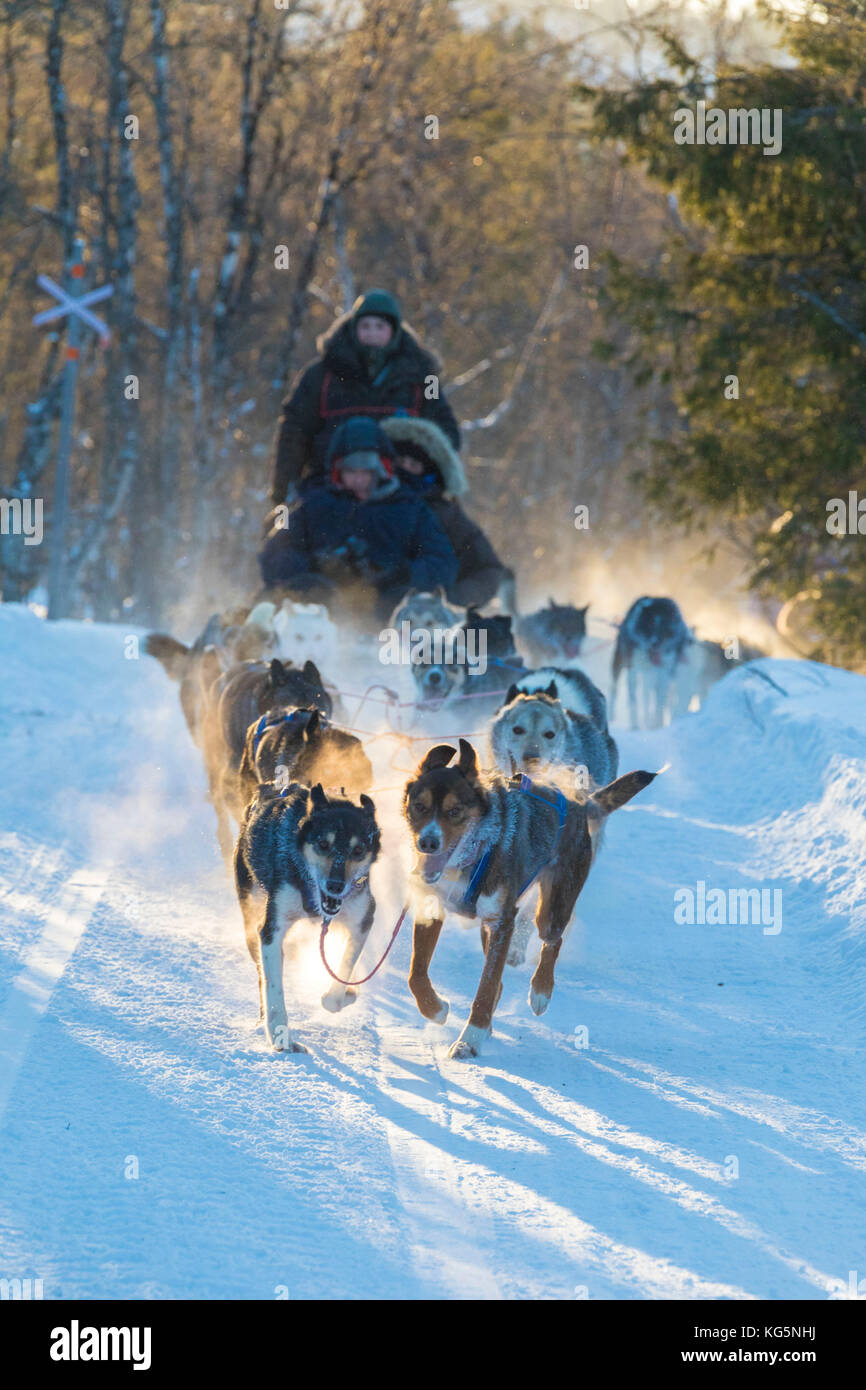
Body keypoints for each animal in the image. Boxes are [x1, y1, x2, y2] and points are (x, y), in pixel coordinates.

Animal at [237, 783, 386, 1050]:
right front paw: (281, 1036)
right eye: (323, 844)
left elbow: (339, 985)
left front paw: (346, 993)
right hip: (251, 917)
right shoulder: (271, 931)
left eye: (359, 849)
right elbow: (274, 989)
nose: (335, 885)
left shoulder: (363, 919)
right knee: (262, 975)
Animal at [403, 745, 653, 1056]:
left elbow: (486, 988)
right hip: (493, 927)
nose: (428, 842)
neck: (470, 857)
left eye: (455, 811)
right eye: (419, 806)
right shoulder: (432, 909)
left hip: (550, 909)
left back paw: (540, 991)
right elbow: (416, 974)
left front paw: (470, 1039)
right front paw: (435, 1009)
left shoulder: (502, 924)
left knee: (552, 941)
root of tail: (579, 803)